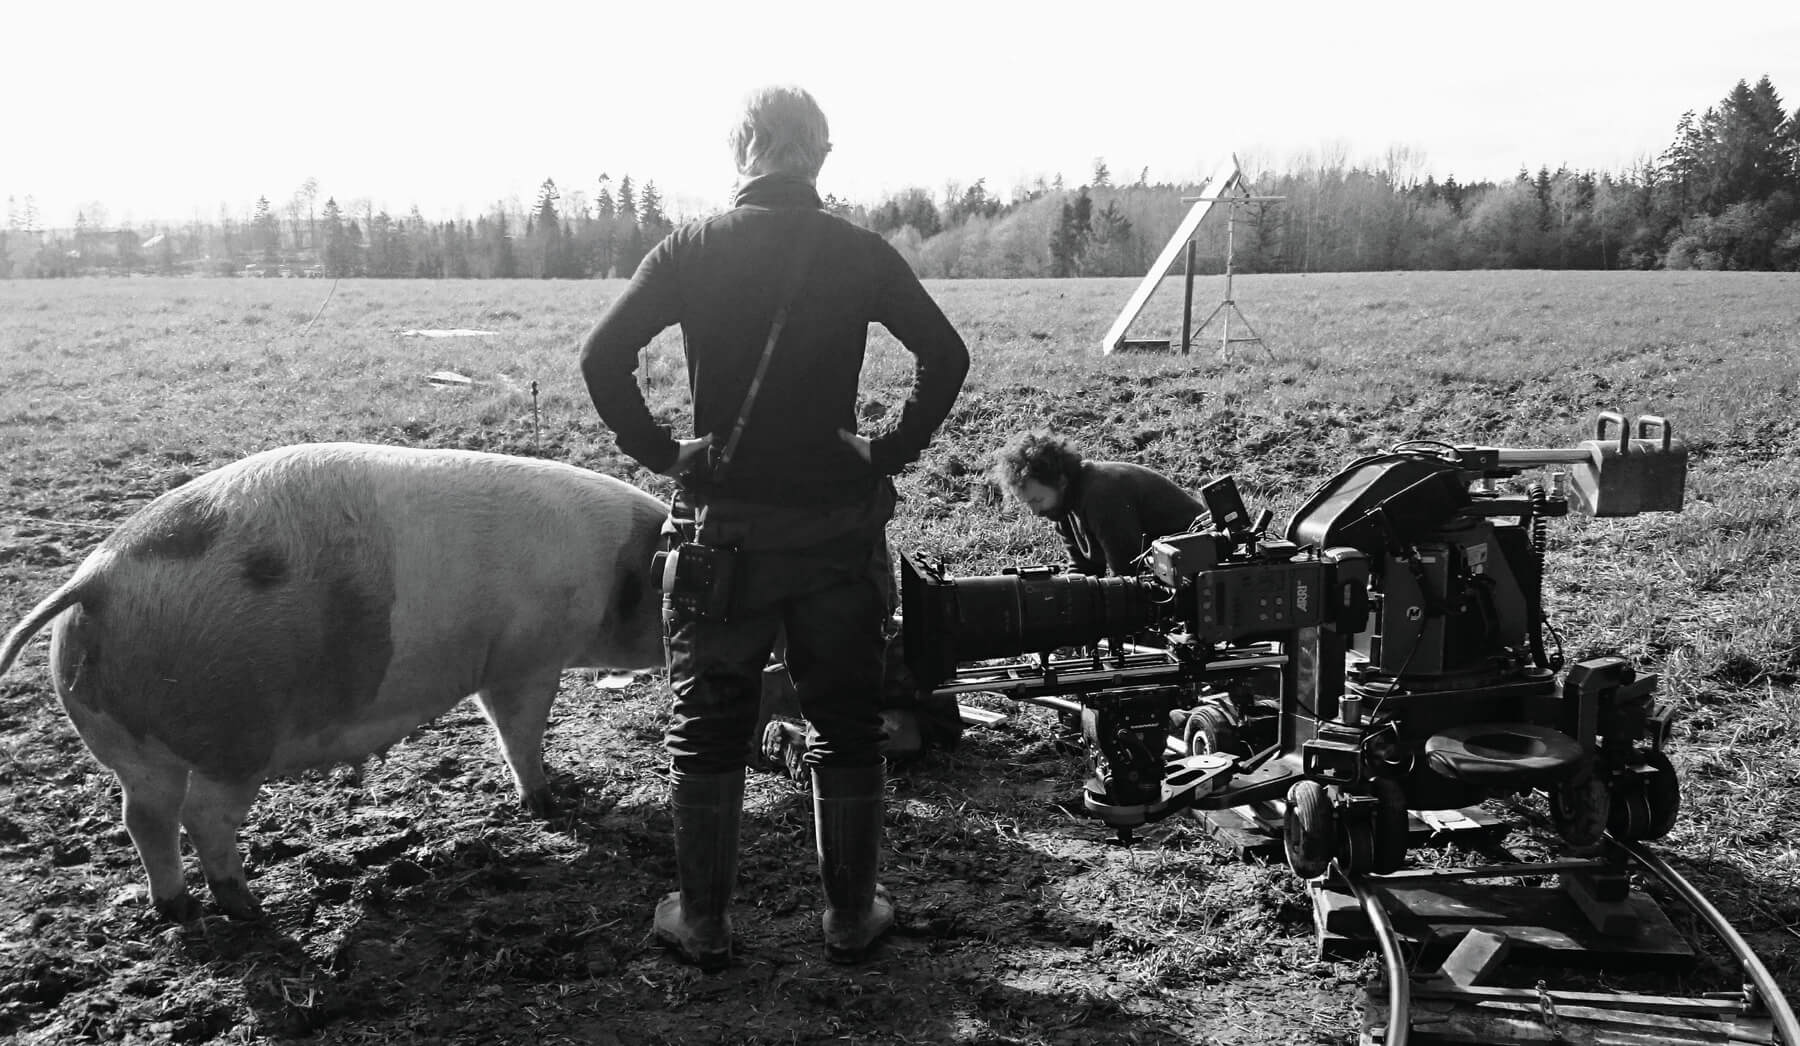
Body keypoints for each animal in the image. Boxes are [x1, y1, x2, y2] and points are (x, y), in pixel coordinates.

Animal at [0, 444, 673, 918]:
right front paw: (552, 802)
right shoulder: (526, 656)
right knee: (202, 815)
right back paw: (249, 910)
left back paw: (179, 910)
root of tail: (96, 577)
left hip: (132, 748)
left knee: (143, 818)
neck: (615, 573)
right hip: (234, 736)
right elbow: (520, 733)